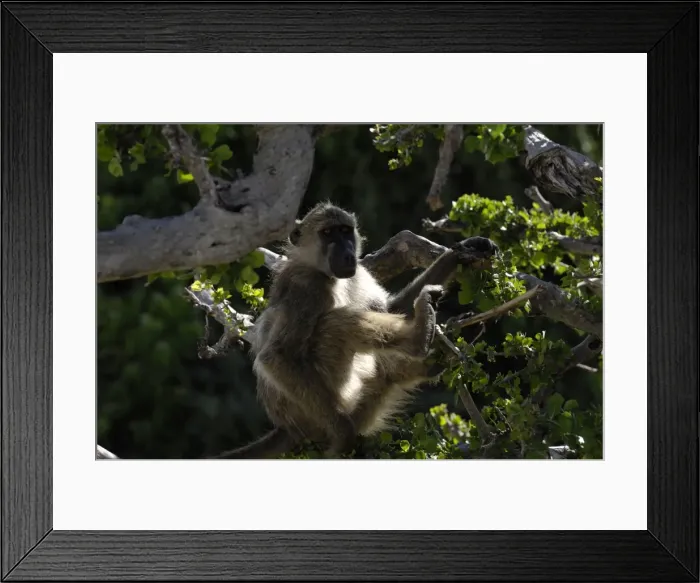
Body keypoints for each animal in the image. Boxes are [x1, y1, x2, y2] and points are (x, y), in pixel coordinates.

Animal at [211, 202, 498, 459]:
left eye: (345, 230)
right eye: (328, 233)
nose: (348, 253)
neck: (324, 272)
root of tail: (286, 428)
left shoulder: (357, 273)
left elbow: (392, 308)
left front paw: (460, 252)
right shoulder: (305, 289)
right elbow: (278, 356)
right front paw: (344, 433)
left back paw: (432, 360)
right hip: (324, 405)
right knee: (335, 324)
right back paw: (419, 337)